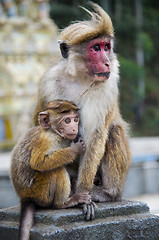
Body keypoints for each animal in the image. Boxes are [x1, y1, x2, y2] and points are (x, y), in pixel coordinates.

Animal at [9, 100, 89, 240]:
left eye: (76, 119)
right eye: (67, 120)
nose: (74, 128)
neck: (54, 132)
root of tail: (25, 197)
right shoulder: (46, 140)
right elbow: (39, 162)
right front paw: (75, 150)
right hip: (40, 192)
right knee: (56, 170)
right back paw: (63, 203)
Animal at [33, 1, 131, 220]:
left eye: (106, 47)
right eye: (95, 48)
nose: (107, 62)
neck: (79, 77)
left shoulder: (107, 87)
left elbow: (95, 136)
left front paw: (83, 193)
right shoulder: (48, 83)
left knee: (113, 130)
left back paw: (107, 193)